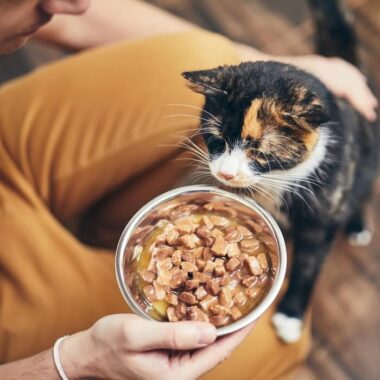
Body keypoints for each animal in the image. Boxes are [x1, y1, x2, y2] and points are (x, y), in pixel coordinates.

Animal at [180, 0, 378, 342]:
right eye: (216, 140)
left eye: (259, 152)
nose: (226, 175)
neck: (277, 181)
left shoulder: (320, 216)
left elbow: (308, 264)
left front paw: (291, 316)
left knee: (363, 189)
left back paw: (356, 224)